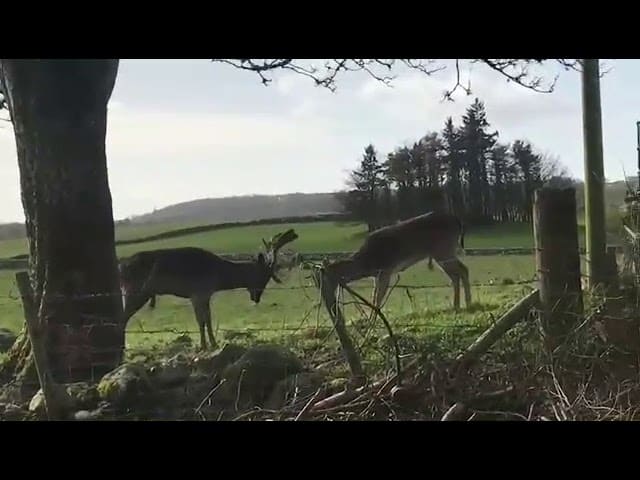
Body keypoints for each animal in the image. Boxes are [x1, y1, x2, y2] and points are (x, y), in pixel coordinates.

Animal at [118, 228, 299, 351]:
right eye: (262, 276)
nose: (257, 297)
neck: (218, 276)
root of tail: (121, 268)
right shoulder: (198, 293)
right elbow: (201, 320)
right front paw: (205, 345)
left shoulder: (205, 294)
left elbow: (207, 319)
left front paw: (212, 343)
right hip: (135, 292)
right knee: (122, 318)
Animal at [323, 211, 471, 312]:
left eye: (326, 277)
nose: (325, 293)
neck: (366, 263)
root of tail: (457, 221)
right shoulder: (378, 275)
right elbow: (375, 295)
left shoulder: (385, 270)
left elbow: (377, 297)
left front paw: (373, 319)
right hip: (444, 252)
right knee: (458, 273)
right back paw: (459, 304)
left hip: (443, 249)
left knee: (461, 270)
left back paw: (465, 303)